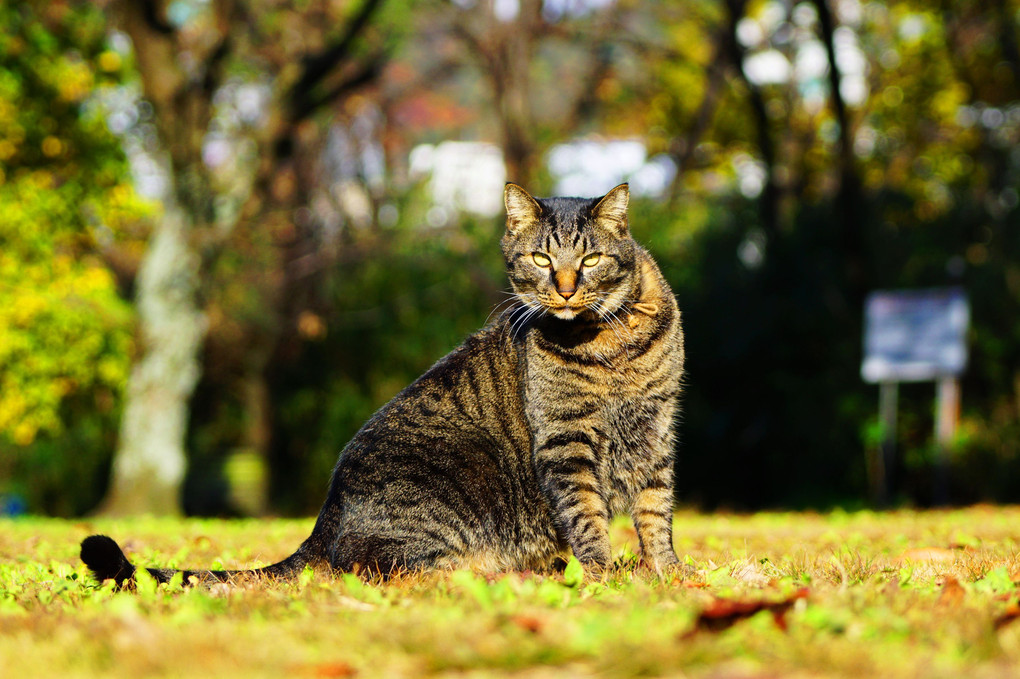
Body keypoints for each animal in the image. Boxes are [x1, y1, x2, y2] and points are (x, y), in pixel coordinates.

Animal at [79, 181, 685, 583]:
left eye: (590, 259)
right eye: (540, 258)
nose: (563, 288)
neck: (610, 346)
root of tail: (323, 518)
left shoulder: (658, 431)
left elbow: (657, 512)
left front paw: (670, 572)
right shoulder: (565, 443)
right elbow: (587, 517)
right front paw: (605, 576)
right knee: (413, 573)